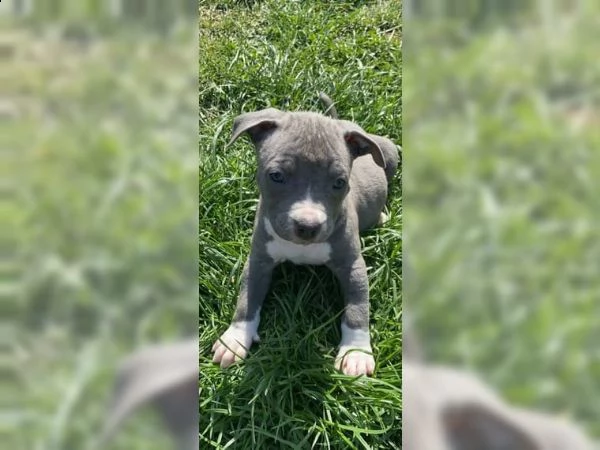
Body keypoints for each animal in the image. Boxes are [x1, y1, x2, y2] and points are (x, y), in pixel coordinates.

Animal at [211, 92, 398, 376]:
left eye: (340, 182)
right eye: (276, 176)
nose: (308, 226)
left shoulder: (353, 266)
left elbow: (357, 308)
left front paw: (356, 352)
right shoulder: (258, 261)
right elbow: (247, 299)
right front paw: (234, 338)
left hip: (390, 152)